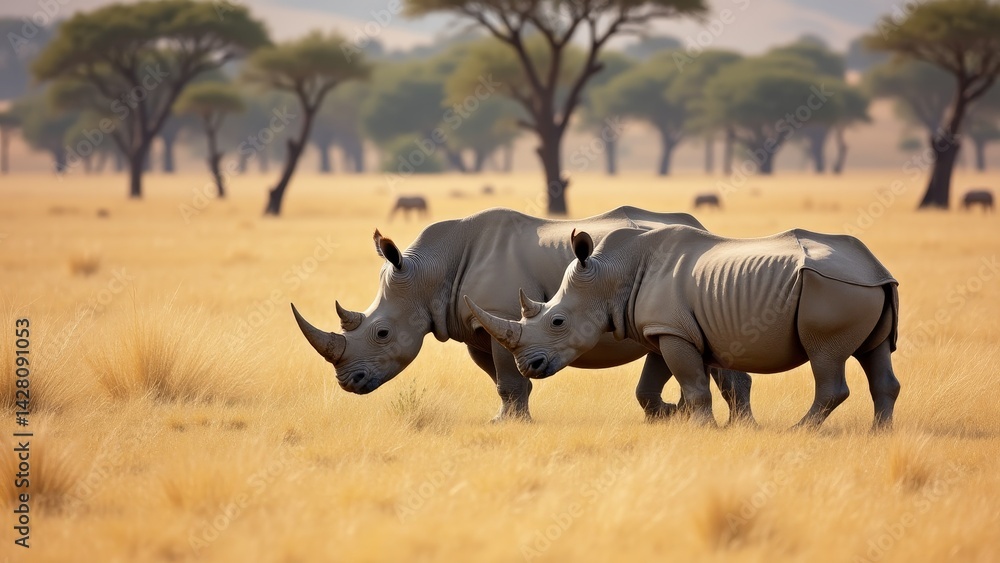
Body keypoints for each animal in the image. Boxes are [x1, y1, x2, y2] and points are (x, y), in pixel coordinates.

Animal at [291, 207, 754, 423]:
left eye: (382, 333)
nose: (348, 383)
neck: (428, 272)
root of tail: (706, 228)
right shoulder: (478, 327)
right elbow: (501, 379)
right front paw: (503, 419)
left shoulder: (498, 315)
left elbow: (508, 380)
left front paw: (511, 424)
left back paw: (739, 427)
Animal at [467, 226, 901, 429]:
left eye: (557, 321)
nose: (528, 367)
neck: (611, 274)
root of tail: (875, 268)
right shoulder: (667, 330)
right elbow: (667, 380)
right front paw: (676, 417)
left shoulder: (673, 332)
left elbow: (694, 385)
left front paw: (702, 428)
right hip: (862, 287)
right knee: (875, 354)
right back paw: (879, 435)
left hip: (833, 287)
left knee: (825, 357)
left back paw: (800, 431)